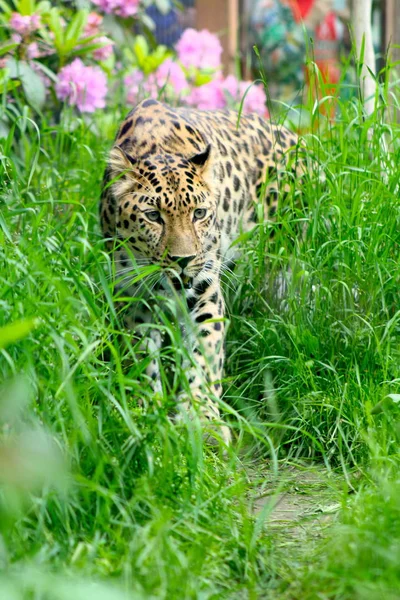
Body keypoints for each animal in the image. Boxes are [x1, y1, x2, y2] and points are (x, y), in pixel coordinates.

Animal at [99, 97, 304, 446]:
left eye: (199, 213)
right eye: (153, 216)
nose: (184, 260)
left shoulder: (205, 289)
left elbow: (204, 355)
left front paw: (201, 418)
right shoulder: (134, 297)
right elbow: (141, 357)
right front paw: (143, 409)